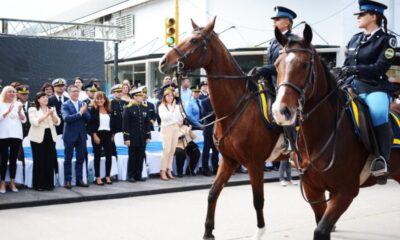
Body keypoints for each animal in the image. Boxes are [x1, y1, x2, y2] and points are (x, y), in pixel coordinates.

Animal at [159, 17, 288, 239]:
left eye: (194, 40)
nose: (163, 62)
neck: (236, 108)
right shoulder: (228, 160)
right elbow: (213, 193)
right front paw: (208, 231)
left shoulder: (254, 163)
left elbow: (258, 200)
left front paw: (260, 231)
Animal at [272, 23, 400, 240]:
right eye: (276, 65)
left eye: (304, 65)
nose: (281, 111)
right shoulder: (313, 189)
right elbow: (320, 223)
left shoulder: (345, 192)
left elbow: (321, 230)